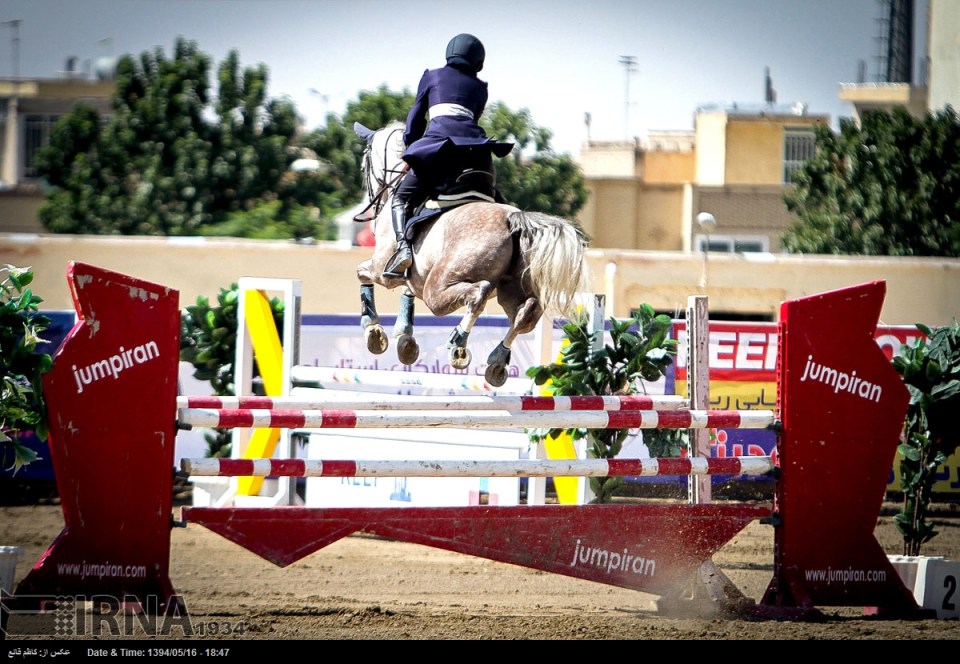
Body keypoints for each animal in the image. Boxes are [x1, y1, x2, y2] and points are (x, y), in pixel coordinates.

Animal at [353, 121, 591, 387]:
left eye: (363, 165)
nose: (371, 206)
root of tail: (512, 219)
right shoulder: (412, 277)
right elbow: (406, 292)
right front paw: (405, 341)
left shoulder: (383, 270)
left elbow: (362, 273)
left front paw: (373, 333)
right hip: (510, 290)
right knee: (525, 313)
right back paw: (497, 362)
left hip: (437, 289)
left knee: (479, 294)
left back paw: (458, 346)